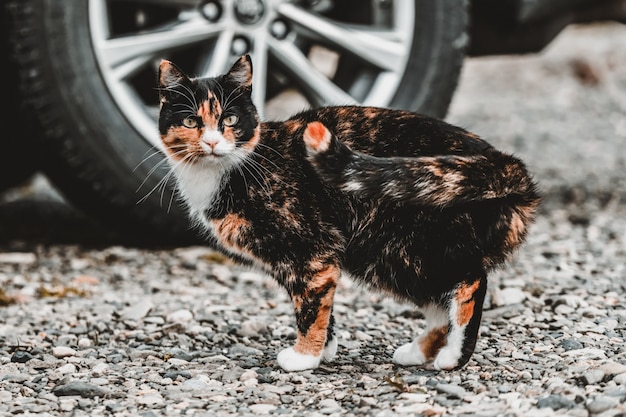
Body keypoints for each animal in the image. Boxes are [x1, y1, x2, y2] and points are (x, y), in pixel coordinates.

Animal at [155, 53, 536, 368]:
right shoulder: (296, 264)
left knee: (471, 281)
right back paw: (417, 351)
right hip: (386, 255)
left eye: (230, 118)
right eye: (191, 122)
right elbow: (317, 304)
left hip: (402, 243)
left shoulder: (311, 250)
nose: (212, 142)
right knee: (440, 302)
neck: (236, 166)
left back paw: (453, 357)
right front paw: (323, 350)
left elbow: (310, 308)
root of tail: (501, 162)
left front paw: (304, 357)